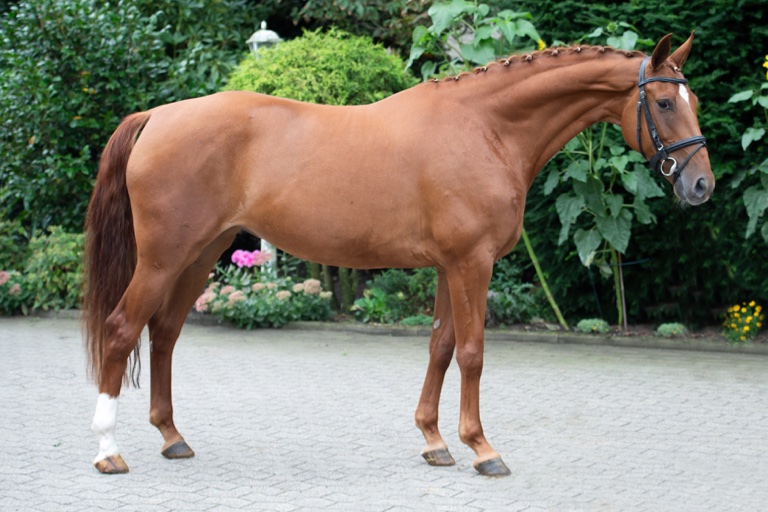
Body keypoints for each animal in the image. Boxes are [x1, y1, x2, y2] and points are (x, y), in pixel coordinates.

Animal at [83, 33, 714, 476]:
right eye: (663, 101)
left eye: (694, 101)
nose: (701, 185)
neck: (484, 129)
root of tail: (158, 116)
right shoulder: (471, 263)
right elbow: (473, 354)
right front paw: (482, 449)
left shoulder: (447, 267)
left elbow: (440, 348)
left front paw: (435, 441)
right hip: (164, 258)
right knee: (121, 328)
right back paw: (109, 450)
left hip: (200, 254)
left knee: (164, 333)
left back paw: (172, 438)